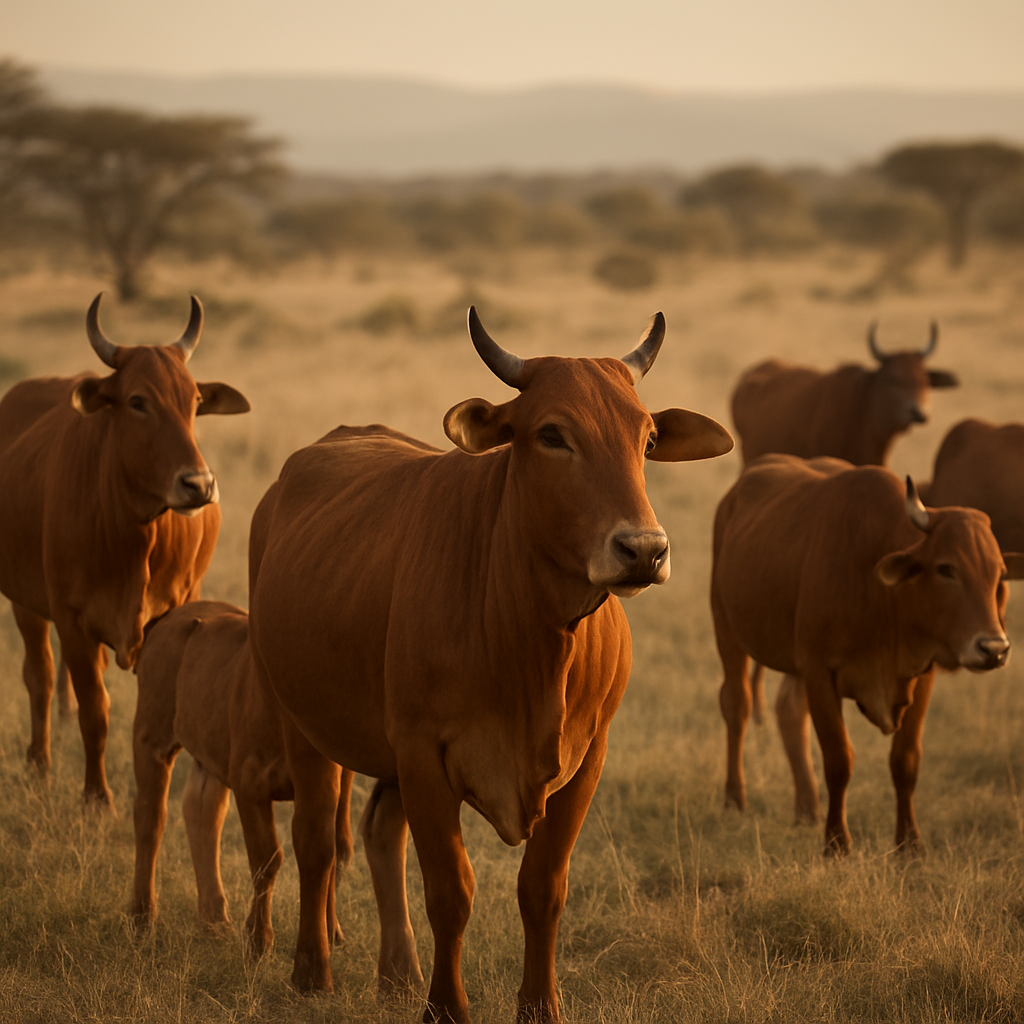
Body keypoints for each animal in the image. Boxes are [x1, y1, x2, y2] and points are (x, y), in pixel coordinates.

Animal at [0, 294, 250, 808]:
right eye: (138, 402)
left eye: (194, 402)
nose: (198, 485)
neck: (134, 534)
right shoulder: (71, 620)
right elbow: (95, 710)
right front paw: (97, 797)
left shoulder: (172, 613)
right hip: (25, 602)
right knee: (40, 676)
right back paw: (39, 762)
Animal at [131, 600, 354, 954]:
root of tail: (173, 616)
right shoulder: (249, 786)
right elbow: (267, 859)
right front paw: (259, 939)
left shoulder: (334, 787)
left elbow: (333, 853)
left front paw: (332, 932)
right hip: (151, 736)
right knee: (150, 817)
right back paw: (142, 915)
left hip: (207, 752)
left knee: (202, 813)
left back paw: (214, 922)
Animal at [246, 308, 734, 1023]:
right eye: (552, 435)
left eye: (646, 438)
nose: (643, 550)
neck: (533, 641)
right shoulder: (423, 753)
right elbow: (451, 892)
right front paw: (446, 1009)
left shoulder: (587, 758)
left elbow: (542, 888)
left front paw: (540, 1006)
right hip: (299, 720)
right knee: (315, 840)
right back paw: (313, 971)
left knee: (379, 834)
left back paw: (399, 973)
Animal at [711, 454, 1023, 856]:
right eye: (946, 569)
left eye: (999, 574)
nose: (993, 649)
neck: (881, 594)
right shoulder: (819, 672)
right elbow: (839, 759)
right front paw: (836, 843)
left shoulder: (922, 672)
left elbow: (905, 761)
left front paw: (910, 843)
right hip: (727, 630)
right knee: (738, 706)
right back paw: (735, 798)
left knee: (789, 712)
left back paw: (807, 808)